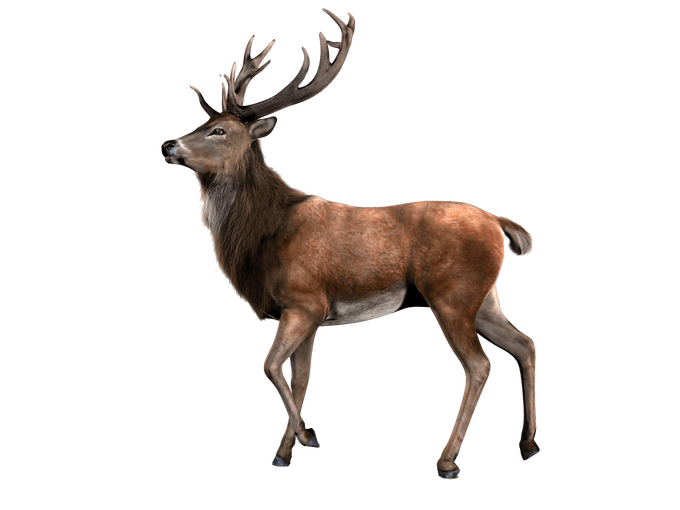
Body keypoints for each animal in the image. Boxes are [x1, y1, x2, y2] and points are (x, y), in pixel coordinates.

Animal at [160, 7, 540, 481]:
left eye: (220, 130)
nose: (167, 144)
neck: (263, 236)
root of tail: (500, 225)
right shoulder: (309, 313)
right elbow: (299, 377)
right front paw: (284, 452)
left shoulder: (304, 300)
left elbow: (269, 366)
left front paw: (307, 436)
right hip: (485, 298)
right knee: (525, 344)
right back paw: (528, 444)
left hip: (452, 294)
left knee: (479, 365)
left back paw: (448, 461)